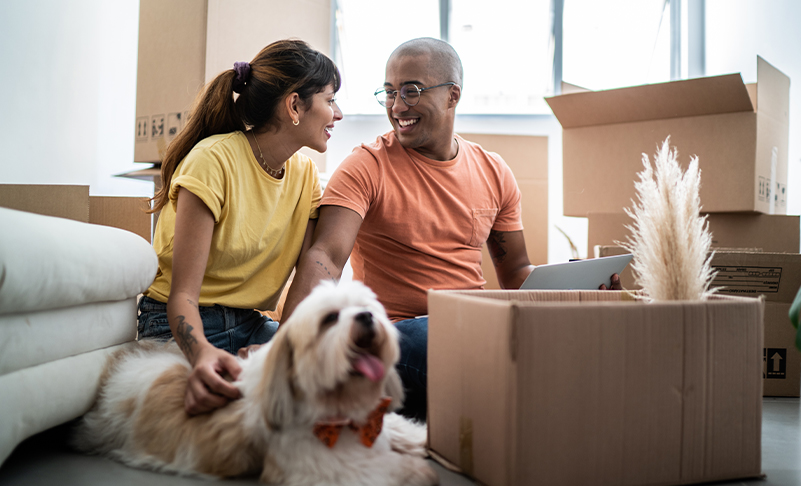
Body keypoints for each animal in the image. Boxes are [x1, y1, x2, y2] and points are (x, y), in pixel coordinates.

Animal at [72, 280, 440, 486]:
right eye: (330, 319)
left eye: (367, 307)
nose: (366, 317)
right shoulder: (312, 464)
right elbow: (372, 470)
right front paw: (415, 472)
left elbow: (394, 428)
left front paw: (420, 438)